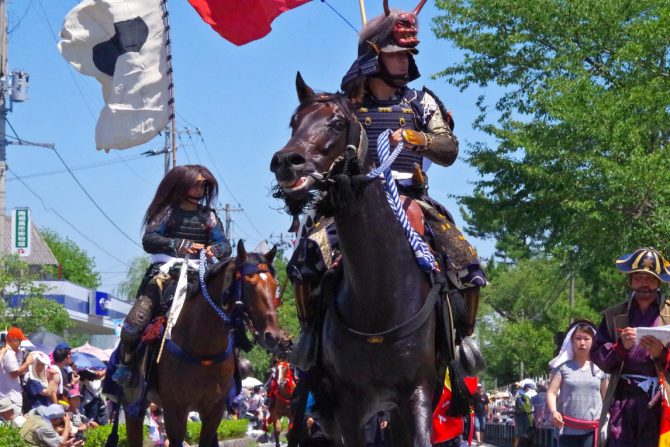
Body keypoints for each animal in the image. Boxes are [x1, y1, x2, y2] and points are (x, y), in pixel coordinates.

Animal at [124, 242, 284, 447]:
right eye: (249, 283)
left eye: (275, 286)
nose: (273, 336)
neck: (202, 349)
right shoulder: (175, 409)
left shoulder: (214, 410)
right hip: (134, 403)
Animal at [268, 75, 478, 446]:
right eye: (295, 122)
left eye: (337, 123)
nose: (286, 161)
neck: (379, 296)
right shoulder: (348, 404)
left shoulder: (417, 391)